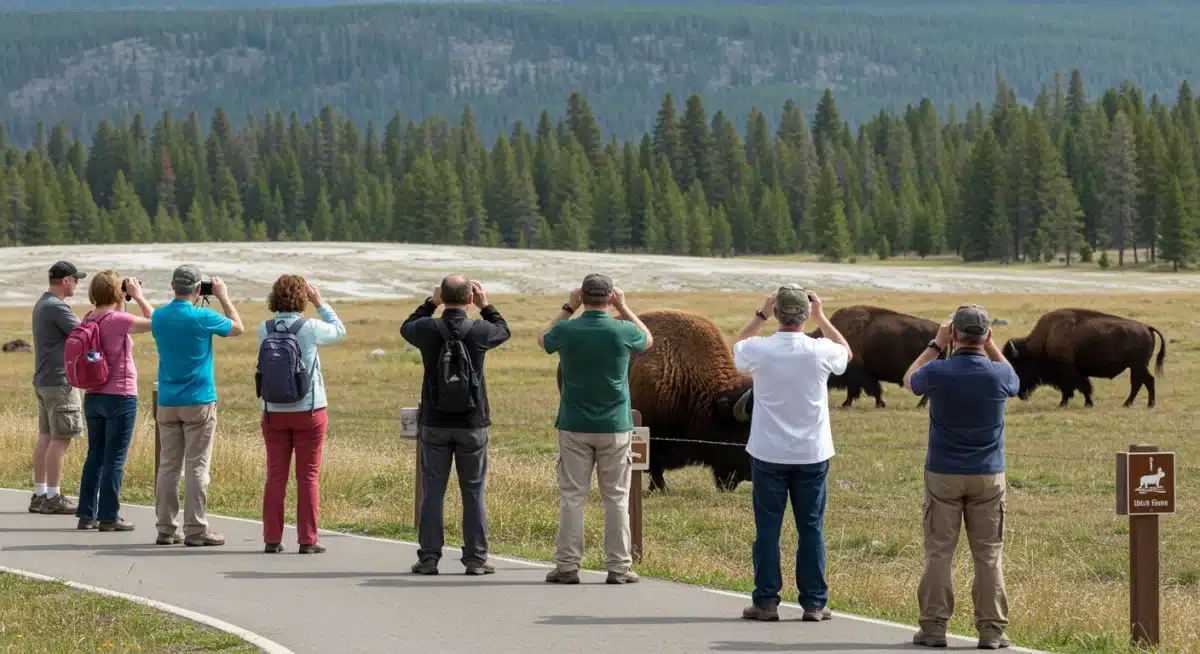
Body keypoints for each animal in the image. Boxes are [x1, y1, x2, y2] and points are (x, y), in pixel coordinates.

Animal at [1002, 308, 1166, 408]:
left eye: (1017, 367)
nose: (1019, 394)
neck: (1047, 337)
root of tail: (1147, 327)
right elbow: (1081, 387)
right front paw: (1084, 403)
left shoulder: (1068, 372)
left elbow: (1075, 388)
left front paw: (1067, 404)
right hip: (1135, 366)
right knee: (1140, 382)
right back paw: (1129, 404)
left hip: (1138, 365)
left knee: (1147, 381)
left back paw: (1147, 404)